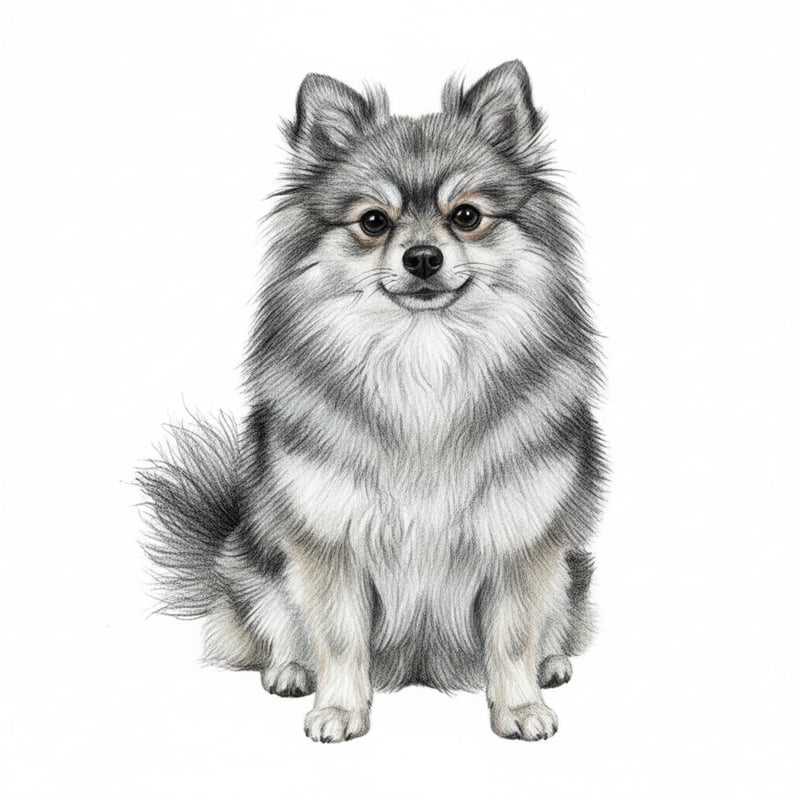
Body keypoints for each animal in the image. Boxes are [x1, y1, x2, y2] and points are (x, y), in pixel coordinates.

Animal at [137, 60, 605, 743]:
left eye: (467, 215)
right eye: (374, 222)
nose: (423, 257)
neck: (423, 358)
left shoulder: (519, 539)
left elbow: (513, 636)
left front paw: (519, 708)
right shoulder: (330, 541)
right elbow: (337, 637)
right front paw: (338, 710)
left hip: (569, 571)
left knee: (552, 625)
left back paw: (552, 664)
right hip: (252, 561)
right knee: (276, 627)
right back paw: (289, 671)